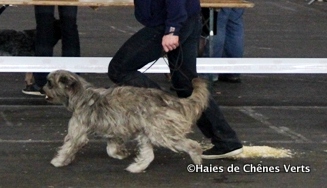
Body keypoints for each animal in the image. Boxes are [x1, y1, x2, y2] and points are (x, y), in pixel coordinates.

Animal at [43, 70, 209, 173]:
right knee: (149, 155)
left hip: (160, 132)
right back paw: (137, 167)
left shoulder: (78, 132)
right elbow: (112, 148)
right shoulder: (113, 130)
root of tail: (168, 99)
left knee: (191, 144)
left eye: (50, 83)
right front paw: (120, 154)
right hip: (147, 132)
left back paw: (197, 157)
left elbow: (69, 146)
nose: (41, 89)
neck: (81, 96)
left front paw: (59, 161)